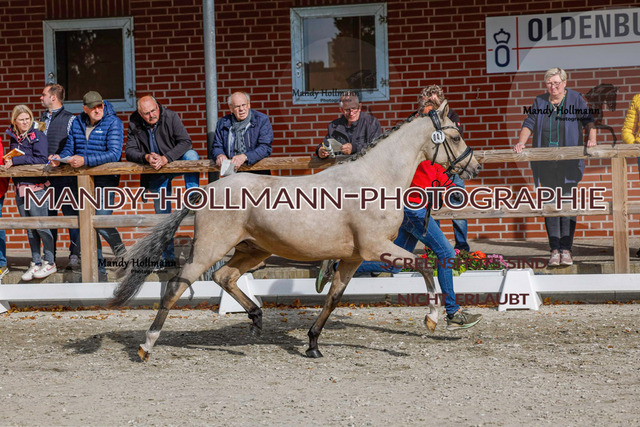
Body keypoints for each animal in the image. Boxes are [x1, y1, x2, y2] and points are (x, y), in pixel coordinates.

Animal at [108, 100, 481, 360]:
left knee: (224, 276)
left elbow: (333, 297)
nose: (474, 166)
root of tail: (209, 188)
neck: (374, 179)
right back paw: (146, 346)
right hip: (209, 249)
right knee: (176, 286)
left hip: (253, 249)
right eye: (455, 135)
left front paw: (313, 344)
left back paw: (256, 319)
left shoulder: (354, 257)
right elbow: (425, 265)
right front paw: (432, 318)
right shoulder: (376, 248)